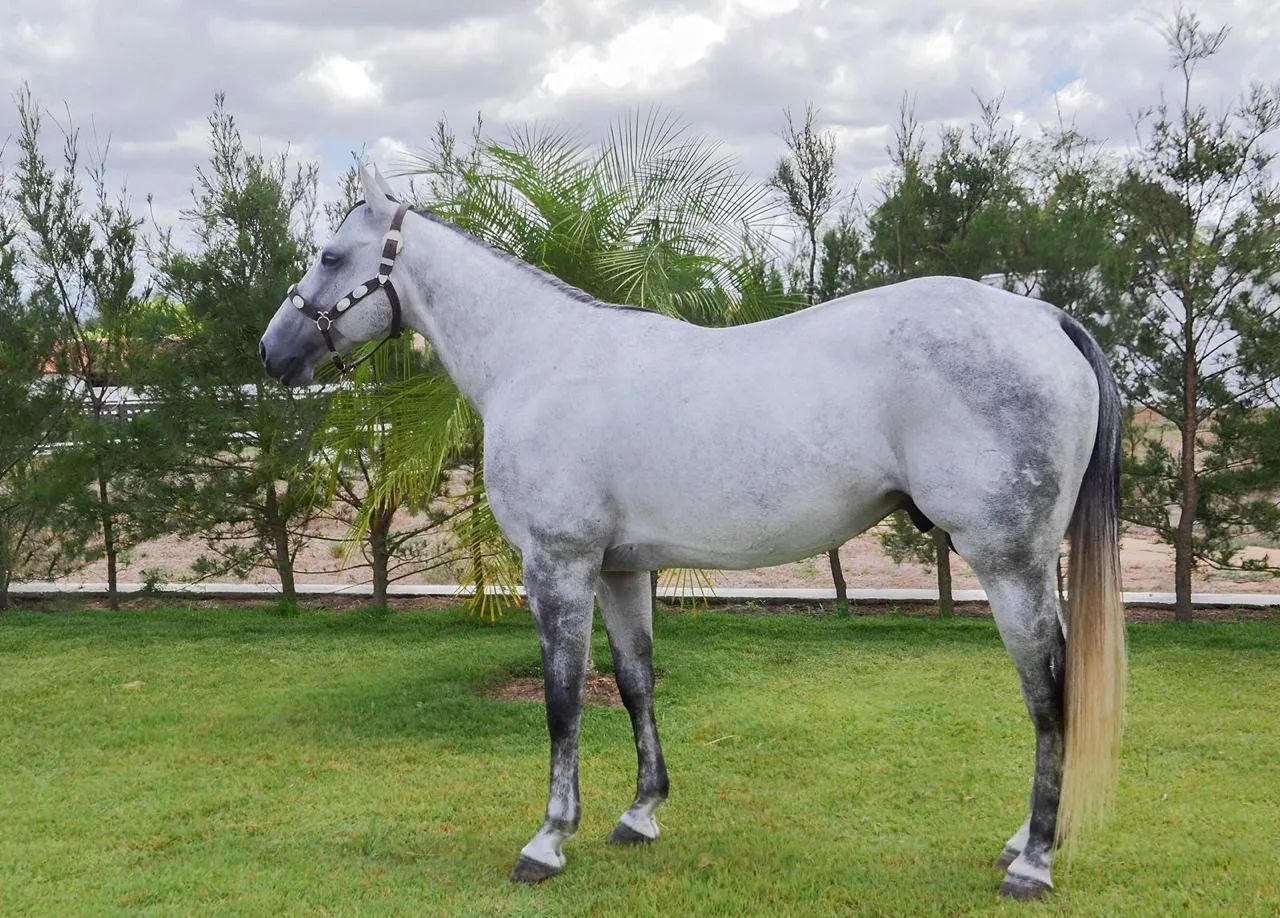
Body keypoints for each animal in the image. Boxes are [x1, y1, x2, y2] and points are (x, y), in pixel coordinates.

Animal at [260, 167, 1126, 901]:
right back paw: (1023, 843)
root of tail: (1043, 317)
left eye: (331, 255)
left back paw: (1033, 864)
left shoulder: (558, 566)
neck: (540, 362)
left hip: (1009, 564)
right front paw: (640, 814)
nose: (272, 353)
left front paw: (547, 841)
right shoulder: (620, 570)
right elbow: (636, 683)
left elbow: (563, 700)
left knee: (1049, 693)